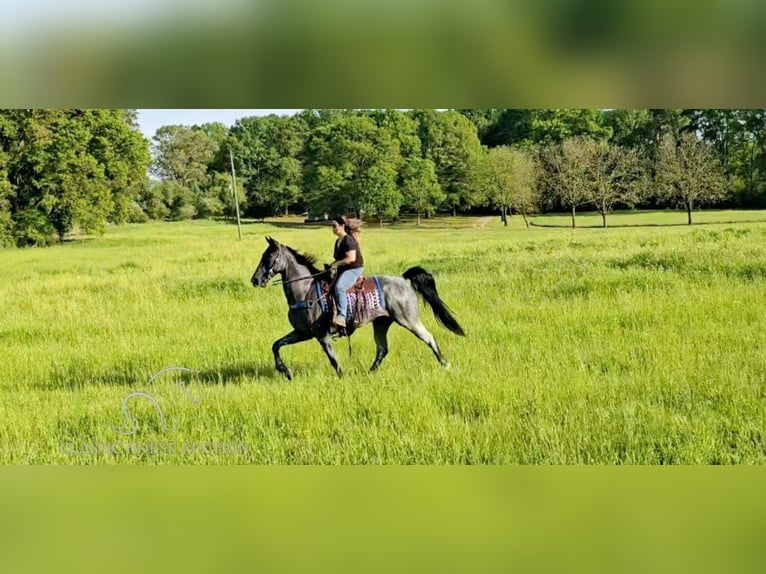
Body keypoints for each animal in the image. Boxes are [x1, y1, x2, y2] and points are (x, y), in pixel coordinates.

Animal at [252, 236, 468, 380]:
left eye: (269, 257)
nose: (255, 280)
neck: (305, 291)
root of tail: (404, 280)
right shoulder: (302, 333)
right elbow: (276, 345)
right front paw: (286, 372)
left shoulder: (322, 335)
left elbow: (333, 359)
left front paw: (342, 378)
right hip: (381, 323)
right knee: (382, 349)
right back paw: (370, 372)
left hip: (409, 320)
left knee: (429, 338)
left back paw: (445, 364)